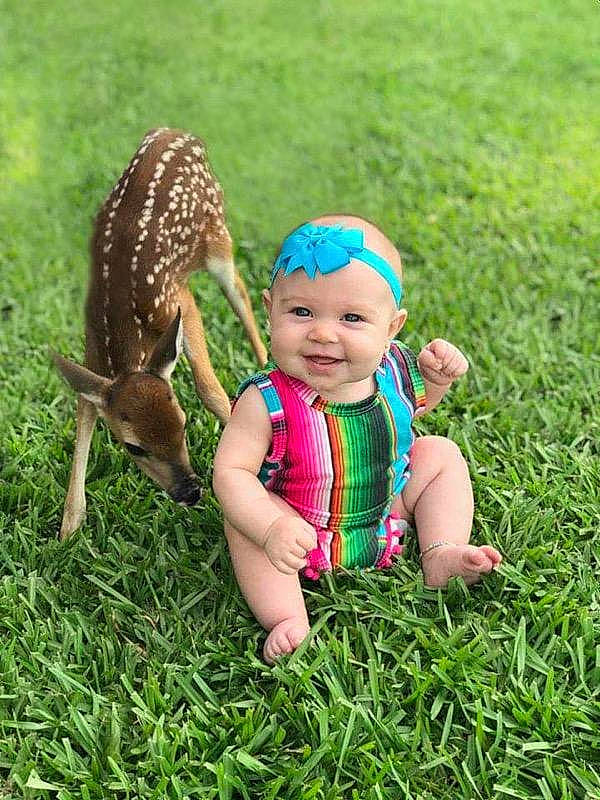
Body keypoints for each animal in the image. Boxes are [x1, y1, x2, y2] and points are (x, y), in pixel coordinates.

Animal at [53, 128, 268, 540]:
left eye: (183, 422)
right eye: (134, 447)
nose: (191, 492)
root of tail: (176, 132)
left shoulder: (178, 299)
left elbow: (208, 388)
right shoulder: (92, 354)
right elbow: (84, 413)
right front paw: (68, 530)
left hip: (217, 236)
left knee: (242, 291)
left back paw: (270, 363)